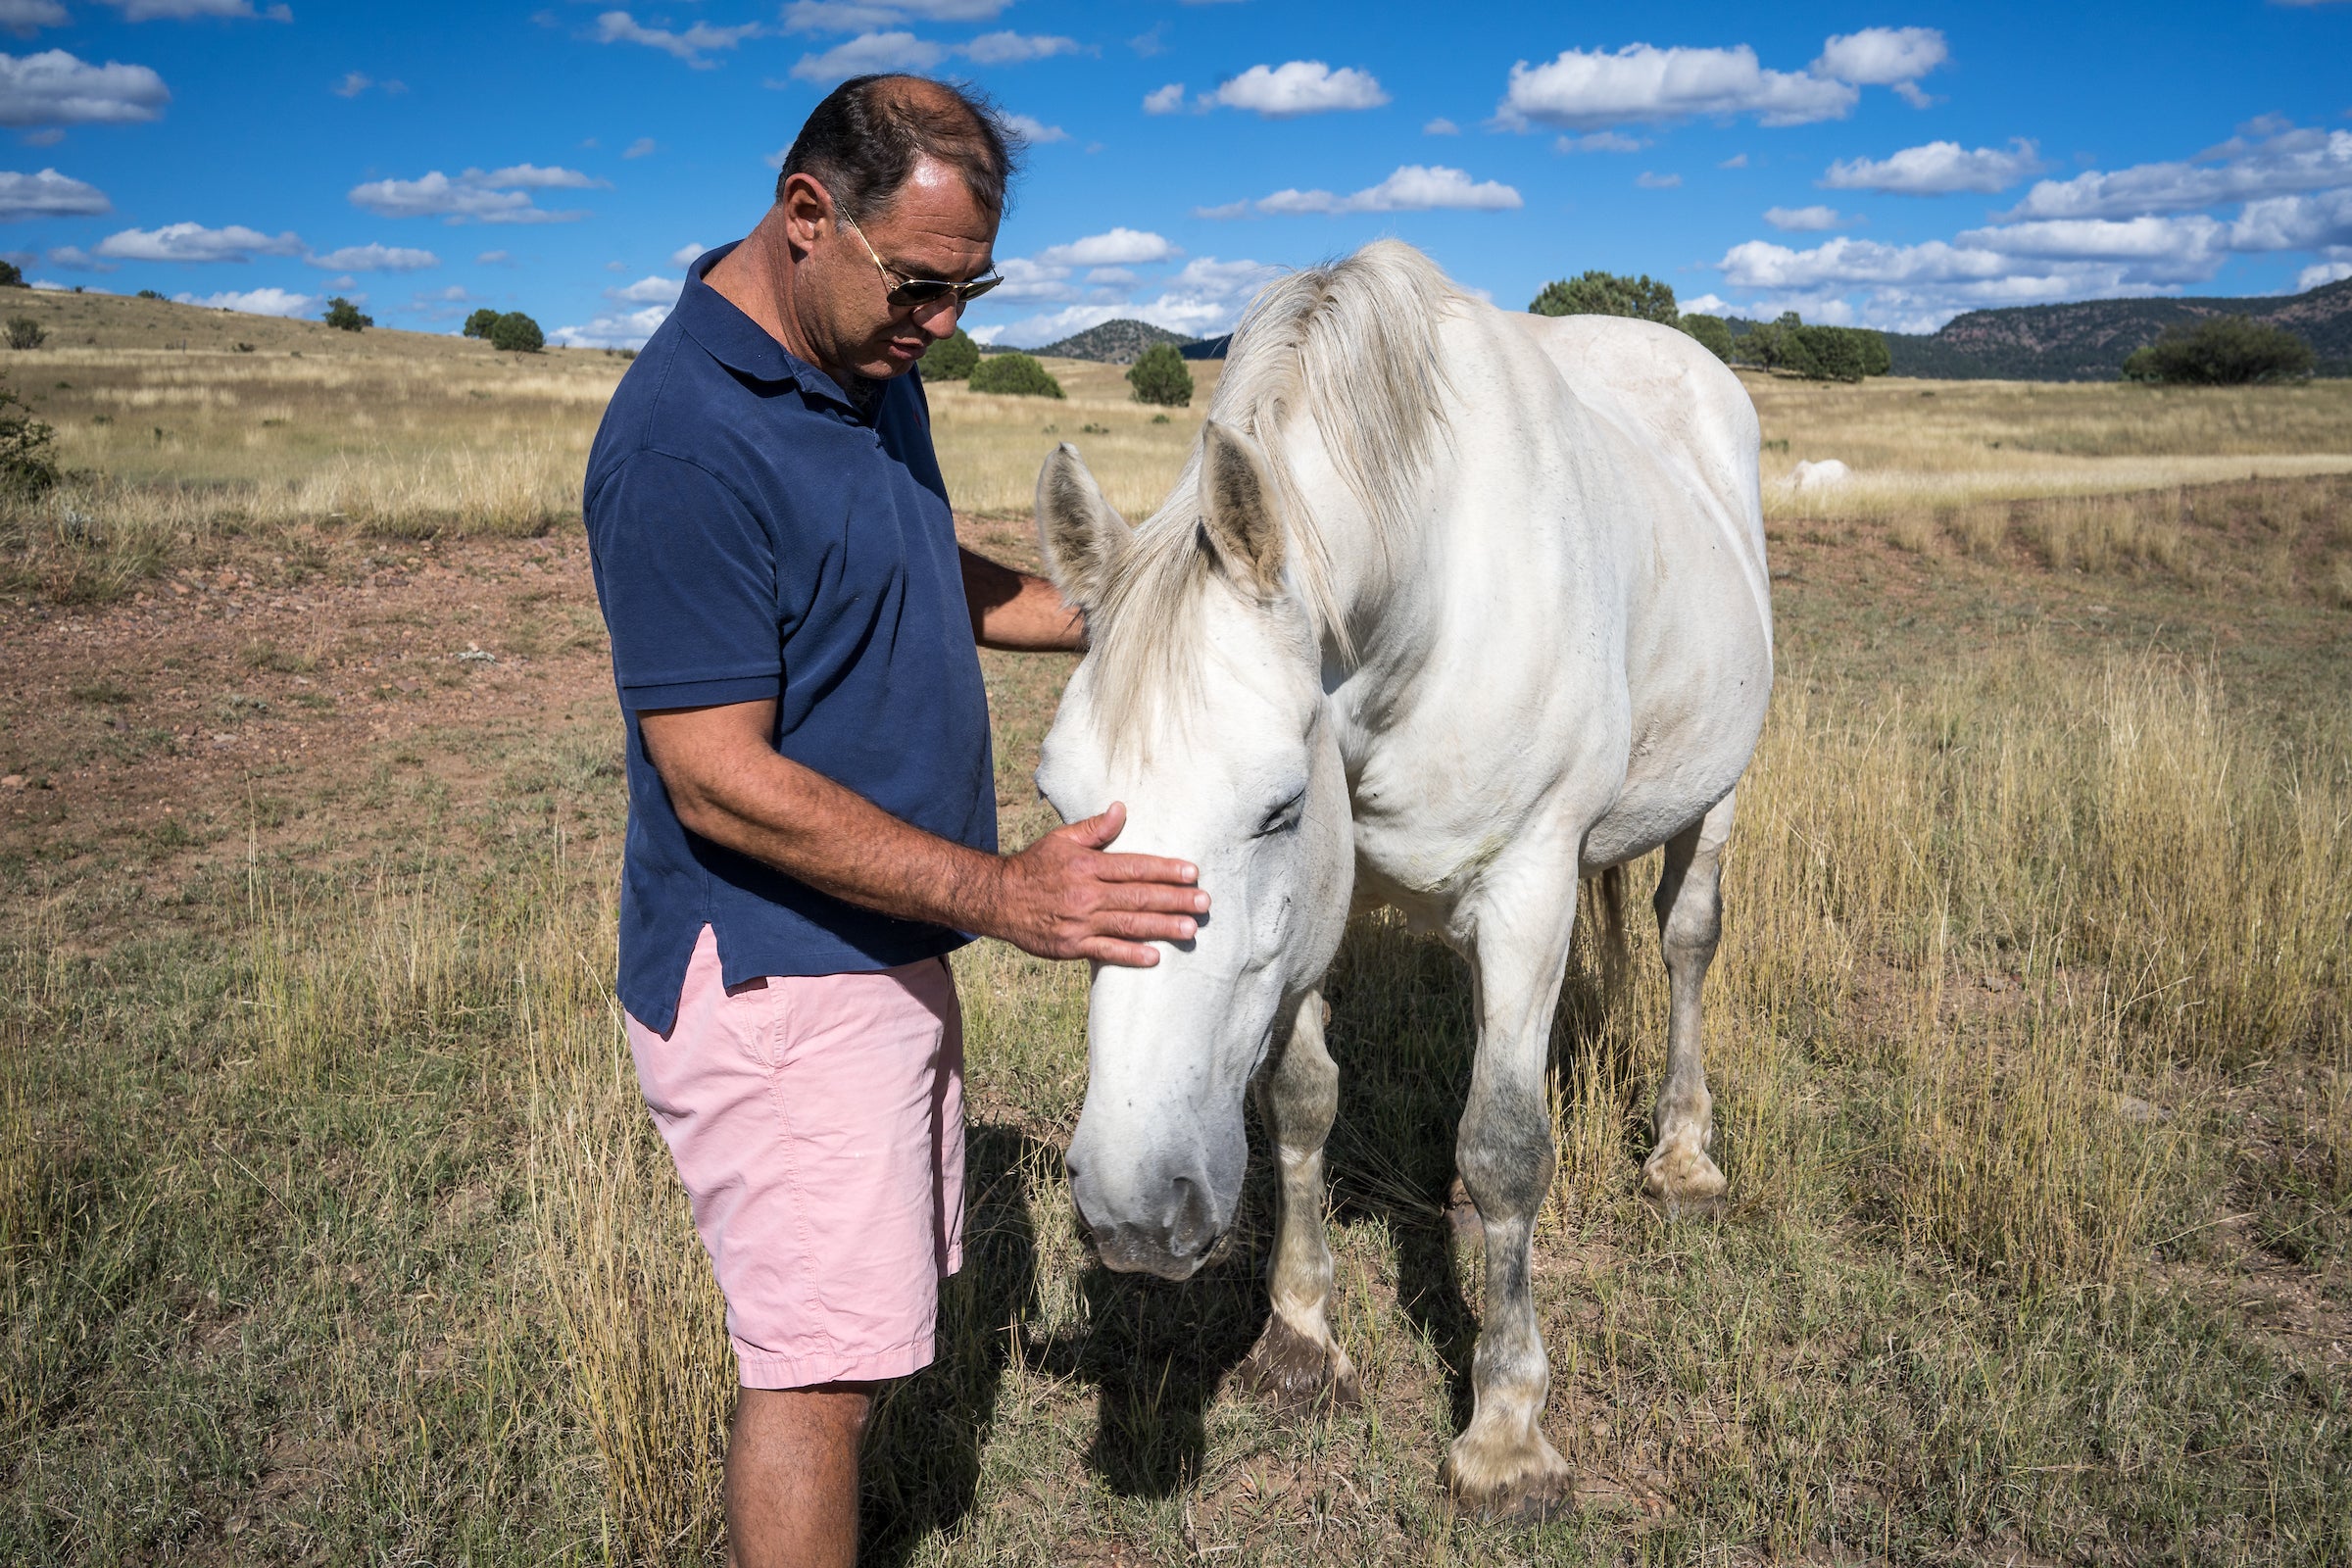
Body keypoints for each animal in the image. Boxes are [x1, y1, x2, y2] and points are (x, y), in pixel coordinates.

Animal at [1039, 239, 1768, 1513]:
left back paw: (1683, 1155)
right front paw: (1299, 1338)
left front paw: (1507, 1433)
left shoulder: (1529, 888)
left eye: (1280, 807)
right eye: (1058, 805)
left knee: (1685, 941)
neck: (1428, 602)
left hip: (1709, 802)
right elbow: (1300, 1101)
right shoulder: (1322, 921)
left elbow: (1509, 1145)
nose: (1134, 1208)